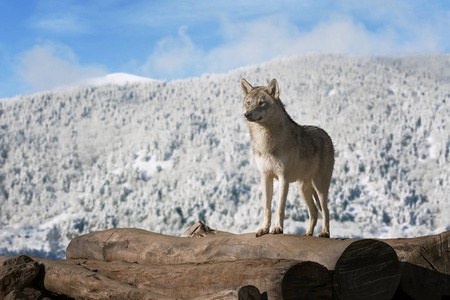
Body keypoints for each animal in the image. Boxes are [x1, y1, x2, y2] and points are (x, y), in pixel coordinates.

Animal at [243, 78, 334, 238]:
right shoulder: (265, 177)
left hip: (319, 187)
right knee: (314, 211)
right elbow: (266, 208)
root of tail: (326, 134)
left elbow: (280, 207)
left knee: (326, 210)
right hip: (303, 189)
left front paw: (278, 228)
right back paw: (307, 234)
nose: (247, 114)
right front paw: (264, 229)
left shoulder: (283, 177)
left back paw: (324, 233)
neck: (265, 141)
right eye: (248, 103)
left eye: (261, 103)